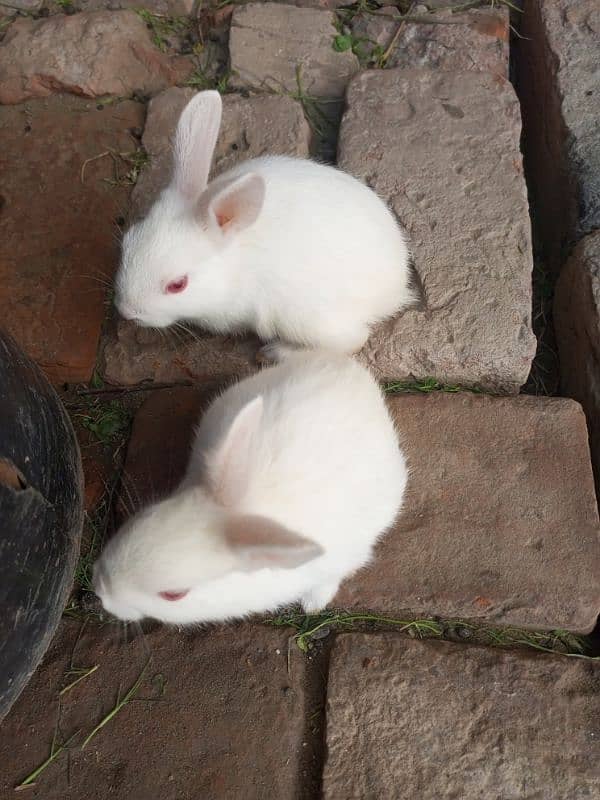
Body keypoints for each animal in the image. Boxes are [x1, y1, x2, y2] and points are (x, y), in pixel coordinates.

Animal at [92, 352, 408, 624]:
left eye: (173, 595)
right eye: (144, 516)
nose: (101, 592)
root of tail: (346, 367)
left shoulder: (342, 560)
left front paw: (313, 604)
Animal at [113, 90, 412, 360]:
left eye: (177, 285)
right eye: (127, 241)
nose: (126, 311)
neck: (233, 265)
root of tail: (396, 285)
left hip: (302, 318)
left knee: (352, 340)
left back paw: (276, 352)